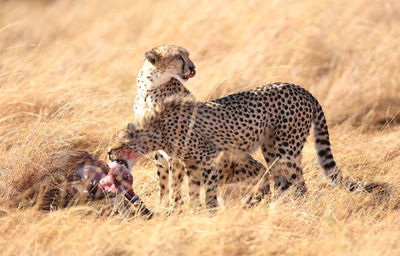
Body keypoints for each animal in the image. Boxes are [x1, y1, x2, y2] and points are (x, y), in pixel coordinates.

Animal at [108, 83, 388, 209]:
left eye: (115, 146)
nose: (108, 154)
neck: (156, 127)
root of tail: (303, 89)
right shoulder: (191, 163)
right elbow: (193, 189)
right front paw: (192, 212)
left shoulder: (209, 157)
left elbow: (208, 190)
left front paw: (209, 211)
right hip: (272, 149)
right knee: (282, 182)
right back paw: (275, 208)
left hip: (286, 149)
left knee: (300, 185)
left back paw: (292, 209)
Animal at [134, 45, 268, 207]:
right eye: (178, 57)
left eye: (187, 55)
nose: (193, 67)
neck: (150, 88)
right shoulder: (158, 149)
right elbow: (163, 181)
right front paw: (163, 205)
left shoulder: (177, 151)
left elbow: (174, 182)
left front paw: (175, 208)